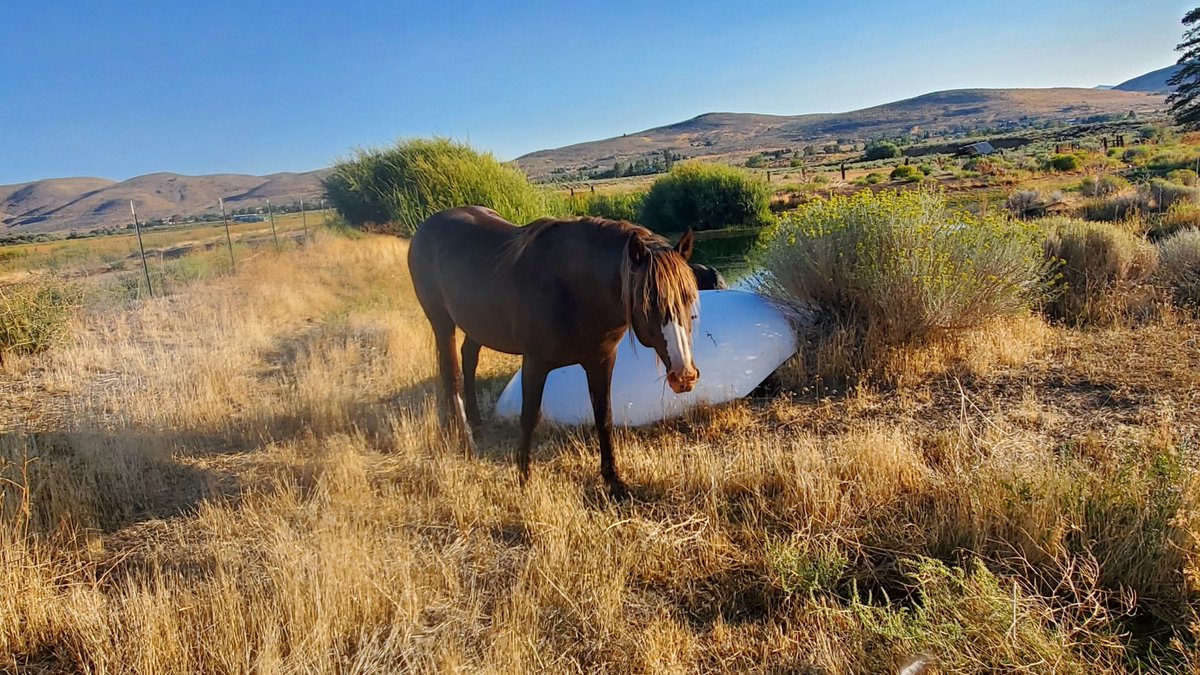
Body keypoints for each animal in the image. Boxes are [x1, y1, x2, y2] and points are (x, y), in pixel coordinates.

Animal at [407, 206, 701, 497]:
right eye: (648, 301)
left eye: (688, 297)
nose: (684, 376)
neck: (573, 291)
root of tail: (427, 226)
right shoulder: (535, 363)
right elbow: (529, 416)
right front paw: (524, 478)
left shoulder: (601, 361)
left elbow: (604, 417)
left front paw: (614, 481)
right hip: (442, 321)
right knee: (452, 375)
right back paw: (466, 440)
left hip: (477, 325)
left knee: (468, 360)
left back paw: (476, 425)